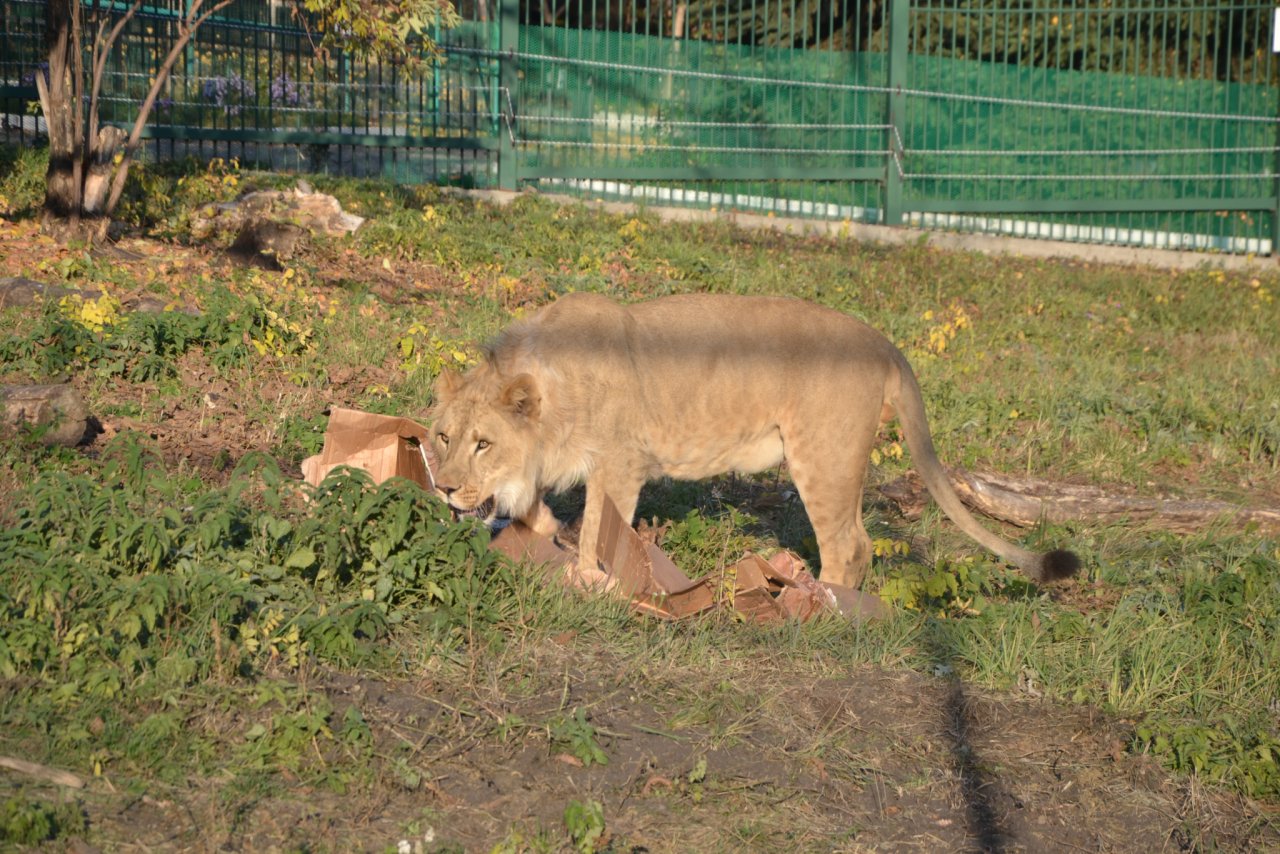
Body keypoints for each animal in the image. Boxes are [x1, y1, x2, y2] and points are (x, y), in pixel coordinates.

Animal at [430, 290, 1080, 591]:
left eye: (483, 444)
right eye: (442, 437)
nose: (444, 490)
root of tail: (882, 342)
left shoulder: (621, 463)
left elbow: (596, 527)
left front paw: (588, 578)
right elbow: (535, 508)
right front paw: (541, 529)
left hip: (821, 458)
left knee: (848, 546)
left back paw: (820, 609)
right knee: (861, 542)